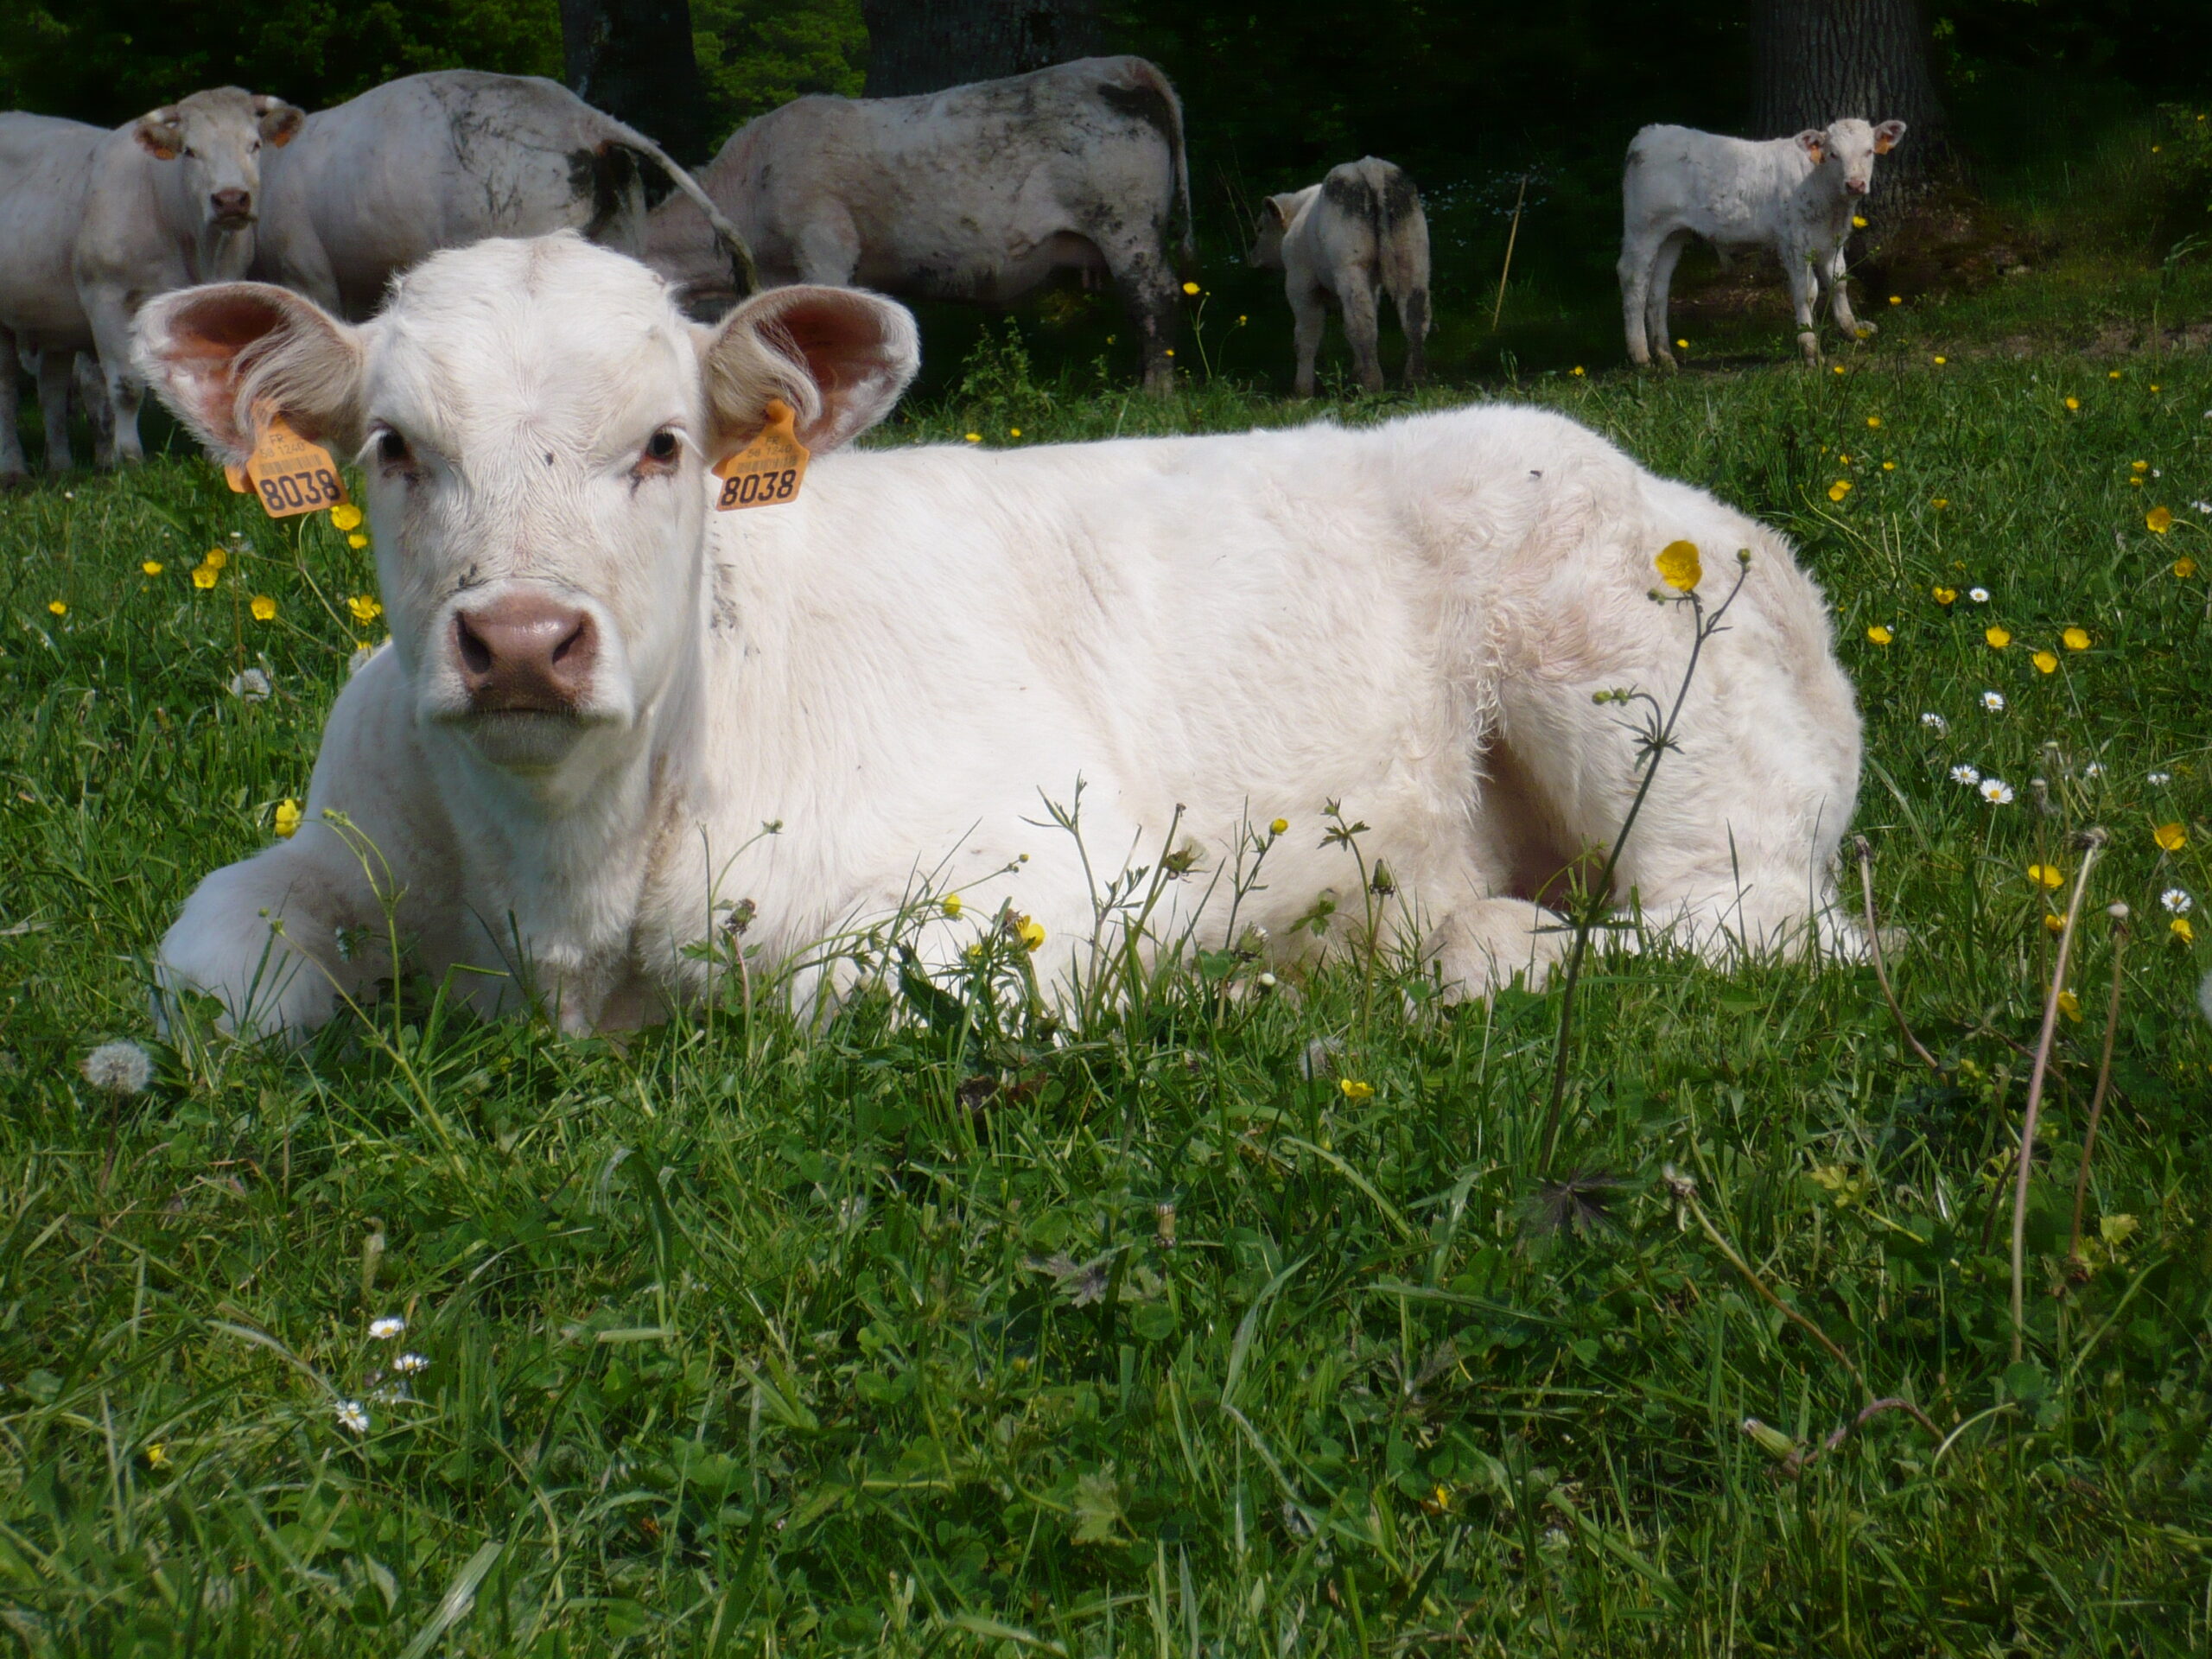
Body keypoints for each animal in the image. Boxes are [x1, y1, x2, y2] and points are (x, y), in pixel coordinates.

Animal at [73, 90, 302, 468]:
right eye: (190, 151)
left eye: (254, 144)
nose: (230, 200)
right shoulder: (104, 297)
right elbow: (126, 385)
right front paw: (131, 459)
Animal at [133, 234, 1866, 1039]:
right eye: (394, 448)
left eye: (664, 445)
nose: (518, 642)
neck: (570, 903)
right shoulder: (336, 842)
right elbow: (210, 970)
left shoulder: (1040, 875)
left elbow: (854, 992)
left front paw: (1221, 988)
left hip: (1644, 713)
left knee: (1756, 926)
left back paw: (1458, 951)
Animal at [1618, 118, 1910, 372]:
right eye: (1833, 154)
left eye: (1869, 151)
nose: (1855, 184)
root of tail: (1649, 133)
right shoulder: (1794, 241)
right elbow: (1807, 292)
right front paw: (1811, 350)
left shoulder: (1833, 241)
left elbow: (1839, 282)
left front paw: (1853, 331)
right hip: (1643, 228)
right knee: (1633, 280)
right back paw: (1641, 356)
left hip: (1672, 234)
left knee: (1658, 288)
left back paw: (1665, 356)